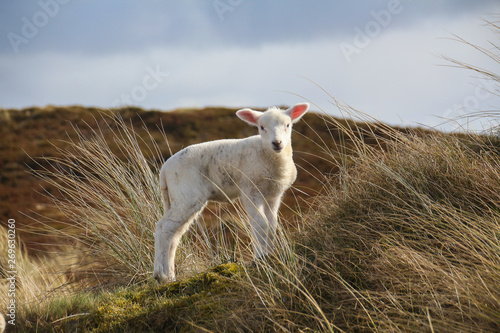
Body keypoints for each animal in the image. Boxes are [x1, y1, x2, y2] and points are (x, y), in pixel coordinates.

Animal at [153, 102, 308, 282]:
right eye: (262, 127)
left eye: (288, 125)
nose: (277, 143)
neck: (268, 155)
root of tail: (165, 169)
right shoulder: (250, 191)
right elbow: (260, 224)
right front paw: (261, 258)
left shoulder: (274, 195)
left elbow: (271, 226)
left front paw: (271, 256)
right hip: (186, 194)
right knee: (164, 228)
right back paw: (161, 274)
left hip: (179, 198)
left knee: (175, 233)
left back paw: (170, 275)